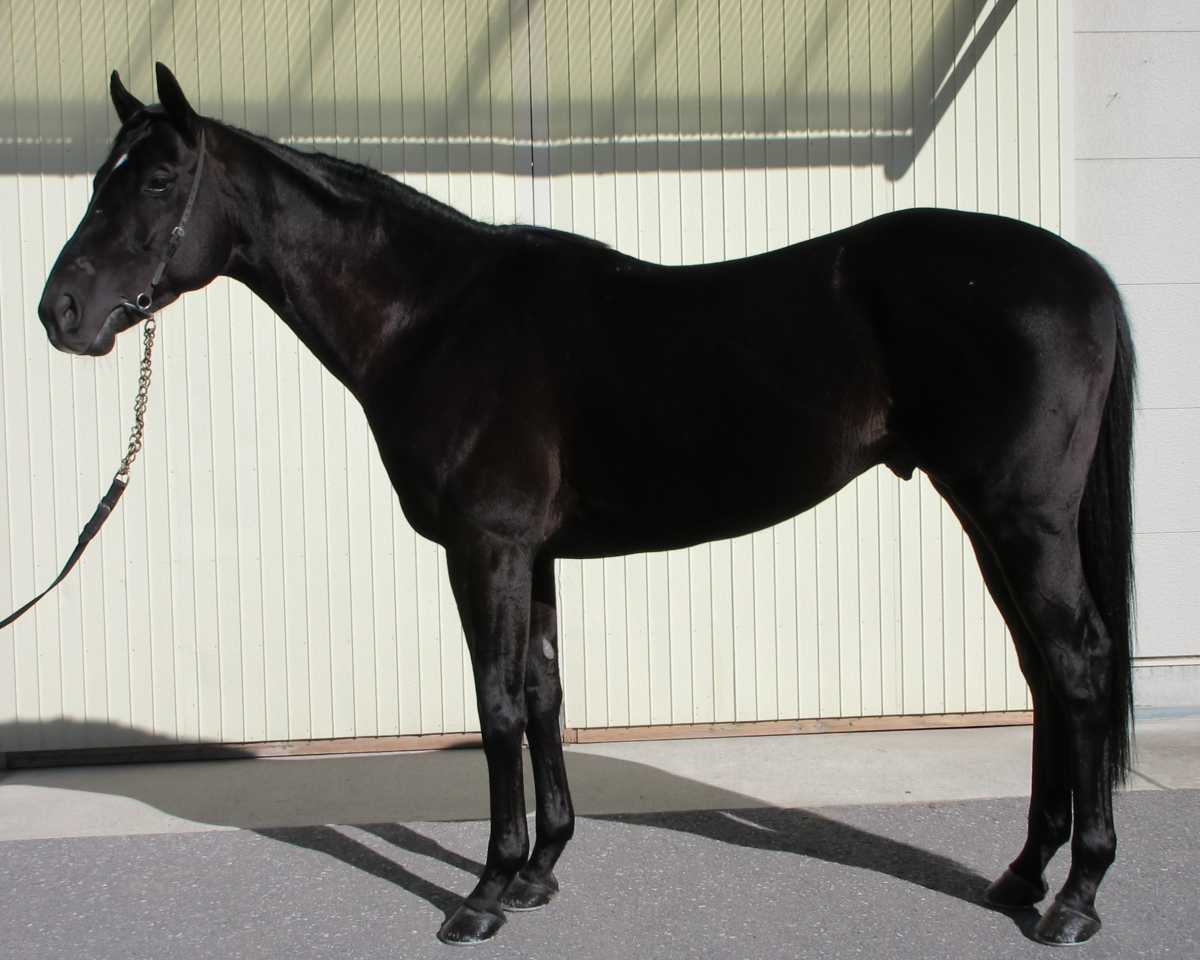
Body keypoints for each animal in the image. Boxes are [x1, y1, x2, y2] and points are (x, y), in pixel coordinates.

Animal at [37, 63, 1134, 947]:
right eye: (97, 180)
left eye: (160, 180)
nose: (62, 313)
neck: (434, 317)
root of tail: (1083, 276)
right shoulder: (536, 553)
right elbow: (544, 692)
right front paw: (539, 872)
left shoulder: (484, 548)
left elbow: (493, 703)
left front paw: (484, 894)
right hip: (991, 522)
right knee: (1043, 672)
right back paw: (1021, 877)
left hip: (1020, 520)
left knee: (1078, 667)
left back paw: (1075, 899)